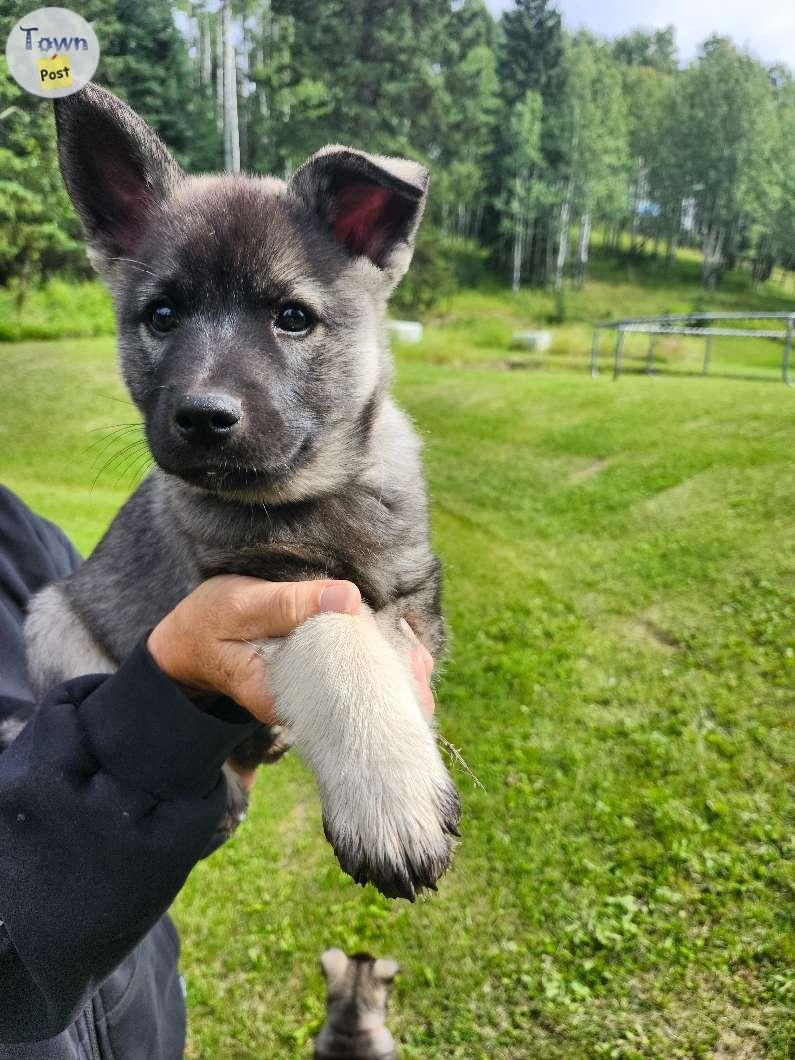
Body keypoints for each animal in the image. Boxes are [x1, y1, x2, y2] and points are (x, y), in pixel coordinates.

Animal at [23, 82, 460, 898]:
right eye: (162, 315)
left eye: (292, 317)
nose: (202, 418)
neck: (315, 494)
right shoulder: (258, 586)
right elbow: (336, 634)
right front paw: (389, 797)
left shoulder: (410, 602)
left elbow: (378, 640)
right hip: (51, 619)